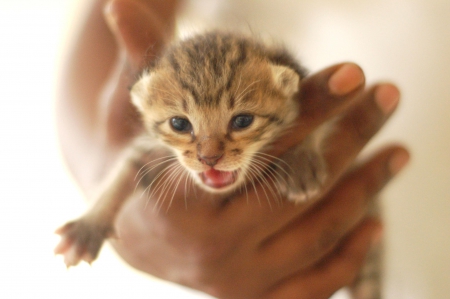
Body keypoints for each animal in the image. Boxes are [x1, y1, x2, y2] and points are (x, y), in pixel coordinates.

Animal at [53, 31, 380, 299]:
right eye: (179, 124)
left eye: (243, 120)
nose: (209, 158)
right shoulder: (148, 147)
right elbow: (123, 170)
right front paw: (88, 226)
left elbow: (320, 123)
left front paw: (300, 162)